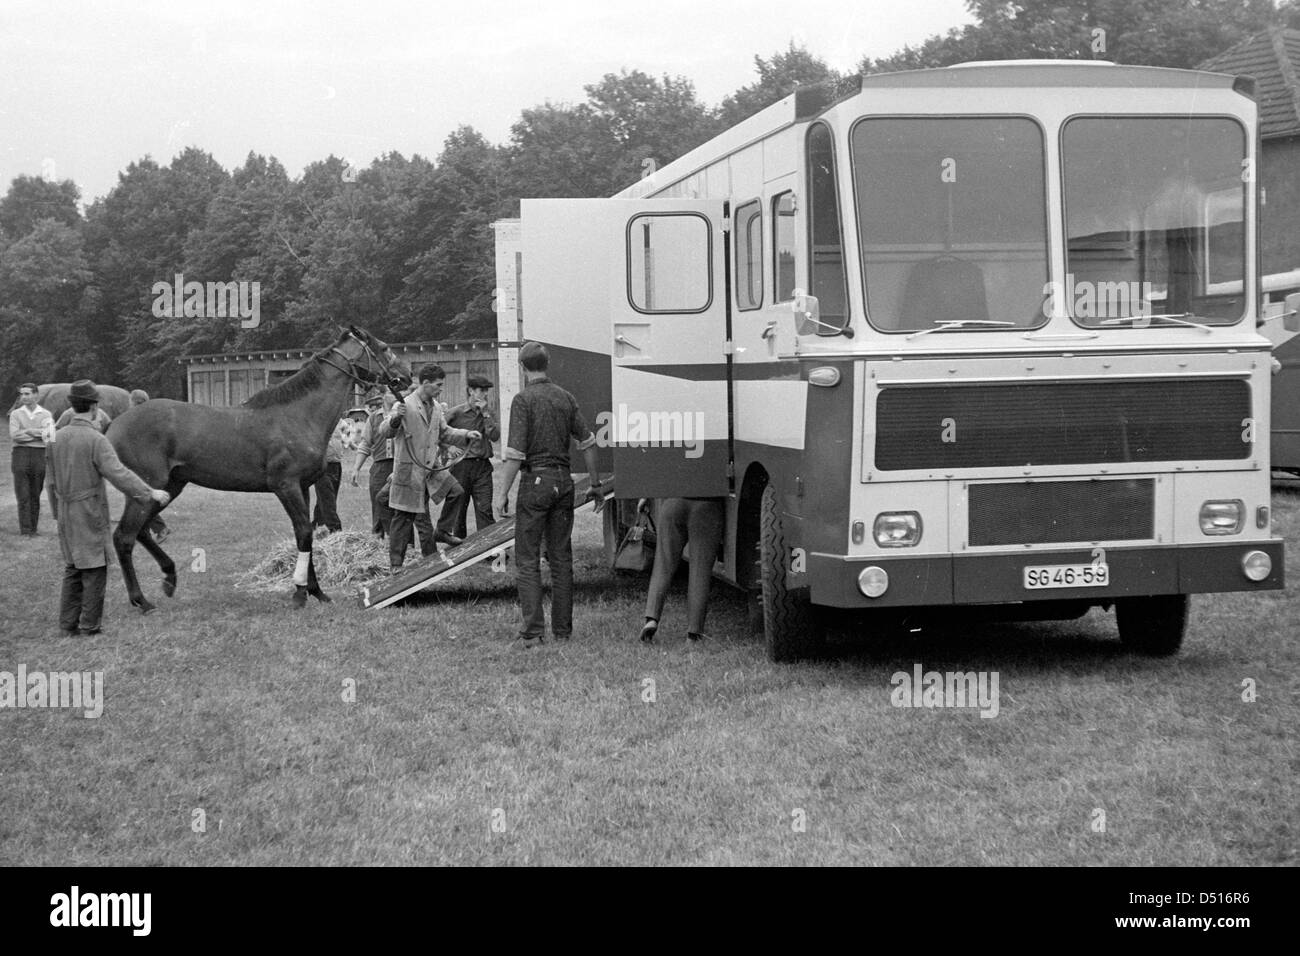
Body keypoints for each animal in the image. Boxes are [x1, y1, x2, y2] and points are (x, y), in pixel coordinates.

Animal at [107, 329, 410, 608]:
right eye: (384, 348)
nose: (406, 376)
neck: (299, 415)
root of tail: (113, 426)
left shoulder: (302, 487)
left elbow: (304, 535)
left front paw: (315, 591)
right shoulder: (285, 487)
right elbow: (304, 533)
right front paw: (300, 593)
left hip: (167, 487)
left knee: (141, 532)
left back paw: (169, 578)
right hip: (151, 486)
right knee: (124, 537)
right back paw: (140, 600)